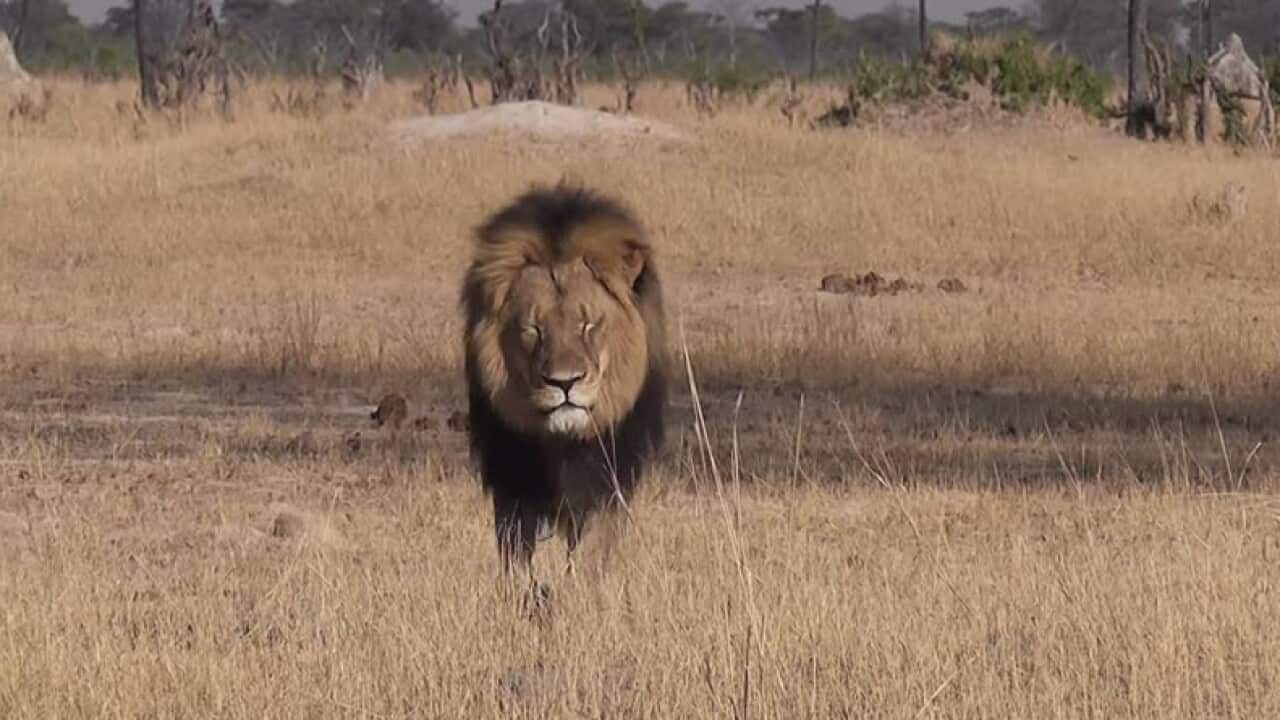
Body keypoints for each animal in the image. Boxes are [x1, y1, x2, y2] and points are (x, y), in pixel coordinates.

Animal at [461, 183, 667, 578]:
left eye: (588, 325)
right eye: (533, 328)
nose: (564, 383)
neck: (562, 445)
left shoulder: (605, 478)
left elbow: (590, 550)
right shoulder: (512, 477)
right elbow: (518, 552)